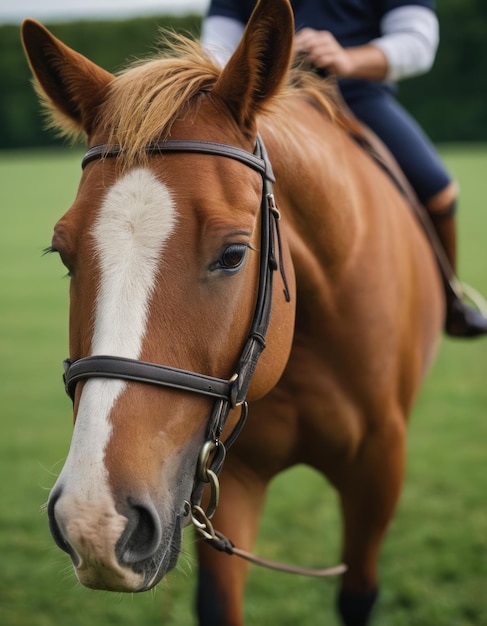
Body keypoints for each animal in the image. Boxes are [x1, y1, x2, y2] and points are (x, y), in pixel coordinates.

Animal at [21, 2, 444, 620]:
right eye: (63, 254)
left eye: (234, 254)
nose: (94, 520)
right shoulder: (219, 478)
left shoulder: (378, 473)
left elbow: (358, 595)